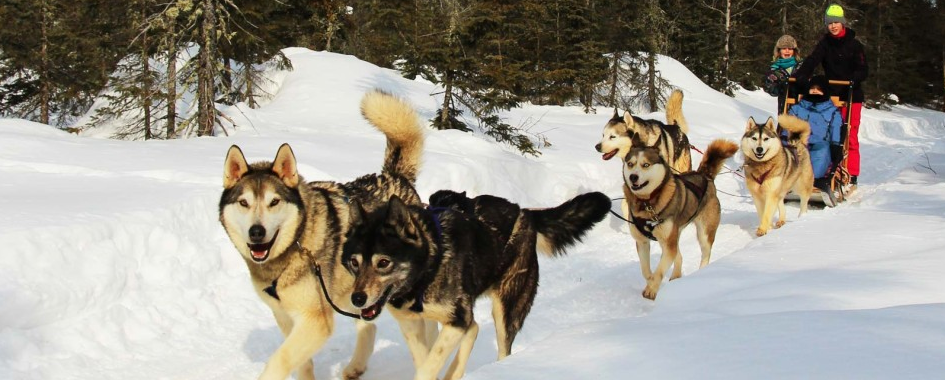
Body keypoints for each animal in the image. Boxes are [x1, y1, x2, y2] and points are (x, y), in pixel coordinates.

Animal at [218, 90, 424, 380]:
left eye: (274, 202)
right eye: (244, 203)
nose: (257, 232)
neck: (296, 243)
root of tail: (394, 177)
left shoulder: (316, 321)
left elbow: (279, 361)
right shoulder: (286, 317)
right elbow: (302, 364)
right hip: (355, 293)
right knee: (369, 326)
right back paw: (355, 367)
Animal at [342, 193, 608, 380]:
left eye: (383, 262)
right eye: (354, 262)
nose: (357, 299)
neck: (430, 264)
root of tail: (523, 211)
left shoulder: (458, 319)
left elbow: (429, 365)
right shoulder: (412, 323)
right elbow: (425, 359)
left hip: (506, 311)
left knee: (498, 343)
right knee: (474, 328)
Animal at [624, 135, 740, 298]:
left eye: (645, 164)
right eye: (630, 164)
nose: (633, 177)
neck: (647, 204)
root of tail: (704, 176)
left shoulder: (668, 243)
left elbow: (659, 271)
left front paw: (651, 290)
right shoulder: (642, 242)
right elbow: (646, 270)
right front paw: (651, 282)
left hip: (703, 234)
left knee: (705, 254)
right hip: (674, 235)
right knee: (679, 255)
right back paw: (676, 276)